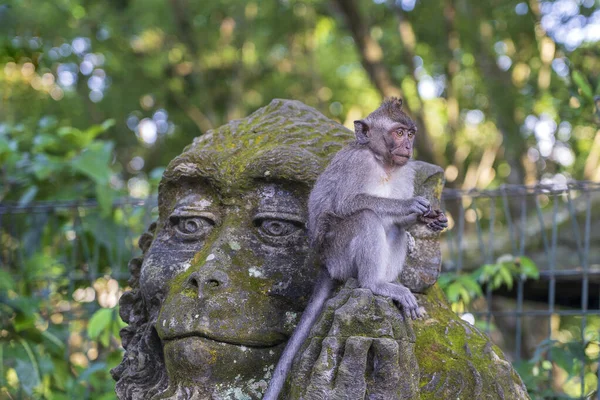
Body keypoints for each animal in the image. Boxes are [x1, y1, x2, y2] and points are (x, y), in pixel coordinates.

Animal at [262, 97, 446, 400]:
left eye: (410, 134)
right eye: (398, 133)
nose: (408, 146)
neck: (384, 164)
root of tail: (325, 264)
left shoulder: (406, 171)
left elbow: (400, 223)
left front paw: (431, 220)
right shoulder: (358, 164)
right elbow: (346, 203)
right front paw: (410, 206)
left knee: (395, 230)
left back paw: (390, 283)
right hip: (339, 254)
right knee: (365, 216)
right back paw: (375, 284)